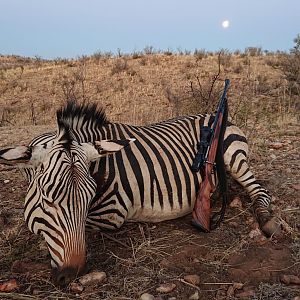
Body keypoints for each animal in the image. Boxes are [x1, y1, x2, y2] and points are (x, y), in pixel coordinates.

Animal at [0, 99, 278, 284]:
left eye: (89, 199)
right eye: (48, 200)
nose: (71, 274)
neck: (101, 165)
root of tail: (215, 114)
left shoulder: (113, 212)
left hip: (235, 156)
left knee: (260, 191)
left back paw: (267, 221)